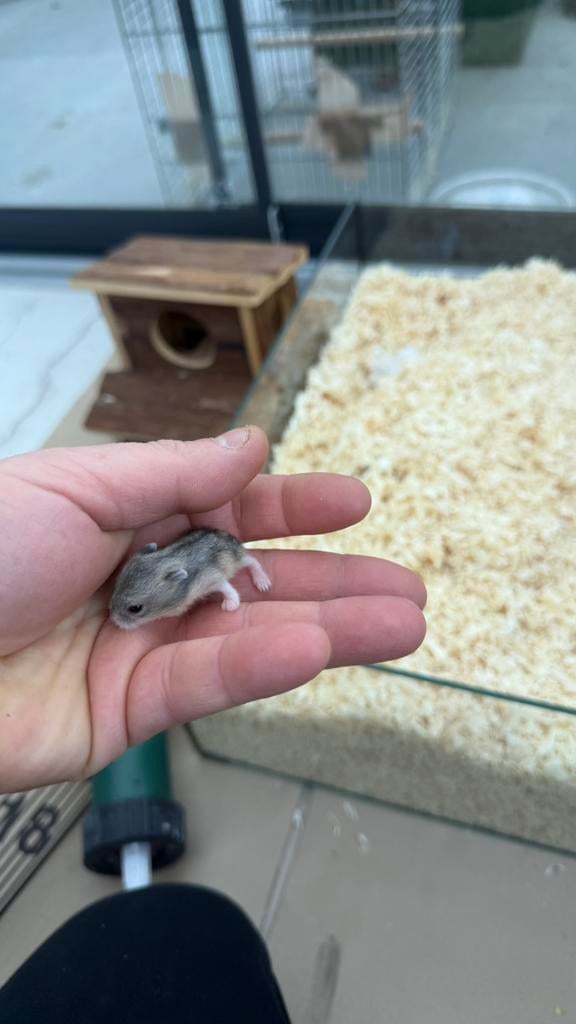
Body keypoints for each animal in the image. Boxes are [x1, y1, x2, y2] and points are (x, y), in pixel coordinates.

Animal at [109, 528, 271, 630]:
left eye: (135, 608)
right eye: (115, 586)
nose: (113, 620)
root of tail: (229, 535)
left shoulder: (212, 578)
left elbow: (227, 588)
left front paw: (229, 607)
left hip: (238, 557)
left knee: (253, 561)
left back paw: (263, 584)